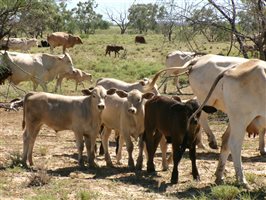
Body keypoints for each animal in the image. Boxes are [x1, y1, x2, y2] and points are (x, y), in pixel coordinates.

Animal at [191, 59, 266, 188]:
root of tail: (230, 70)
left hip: (234, 119)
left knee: (226, 140)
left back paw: (219, 176)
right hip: (241, 118)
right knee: (234, 144)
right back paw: (242, 180)